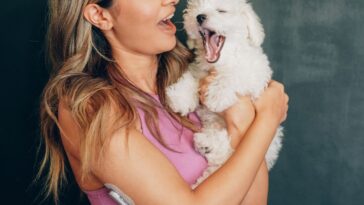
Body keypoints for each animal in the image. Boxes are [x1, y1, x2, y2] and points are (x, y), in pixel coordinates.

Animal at [167, 0, 284, 188]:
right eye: (195, 9)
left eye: (221, 11)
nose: (199, 17)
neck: (221, 62)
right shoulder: (200, 70)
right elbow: (192, 76)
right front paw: (180, 97)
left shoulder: (256, 73)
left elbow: (233, 74)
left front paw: (217, 96)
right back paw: (207, 145)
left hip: (271, 142)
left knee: (227, 150)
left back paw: (208, 144)